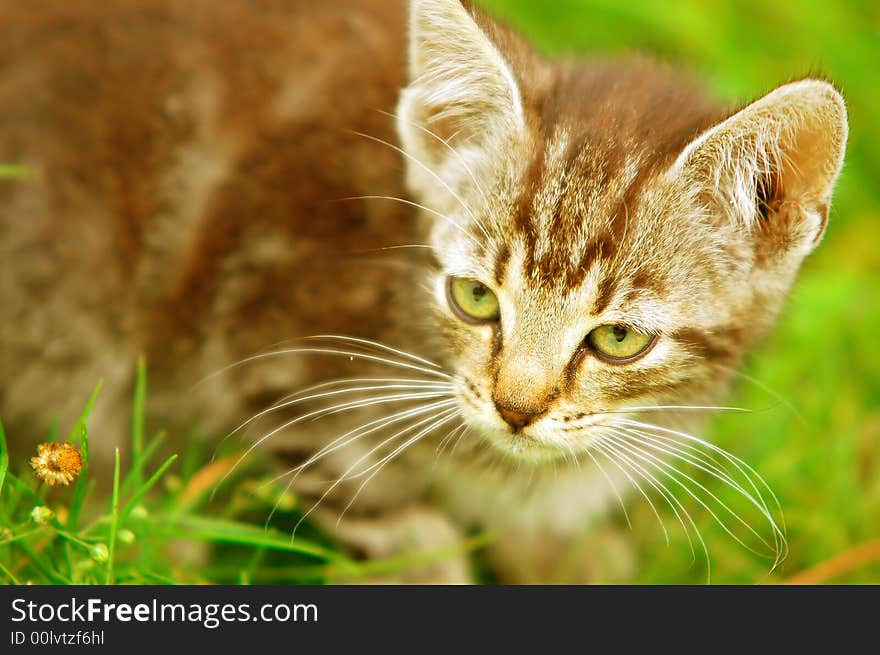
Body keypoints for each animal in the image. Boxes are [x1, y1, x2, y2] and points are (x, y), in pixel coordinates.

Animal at [1, 0, 852, 584]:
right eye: (474, 297)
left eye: (619, 338)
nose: (515, 408)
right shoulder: (284, 365)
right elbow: (395, 526)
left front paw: (563, 558)